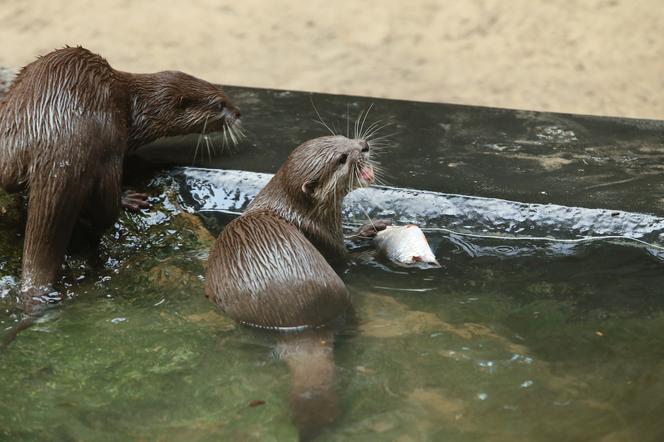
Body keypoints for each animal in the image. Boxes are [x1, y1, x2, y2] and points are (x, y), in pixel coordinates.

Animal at [0, 46, 244, 310]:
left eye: (223, 93)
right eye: (220, 104)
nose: (238, 112)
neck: (142, 107)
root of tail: (57, 138)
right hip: (109, 145)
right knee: (104, 210)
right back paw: (127, 199)